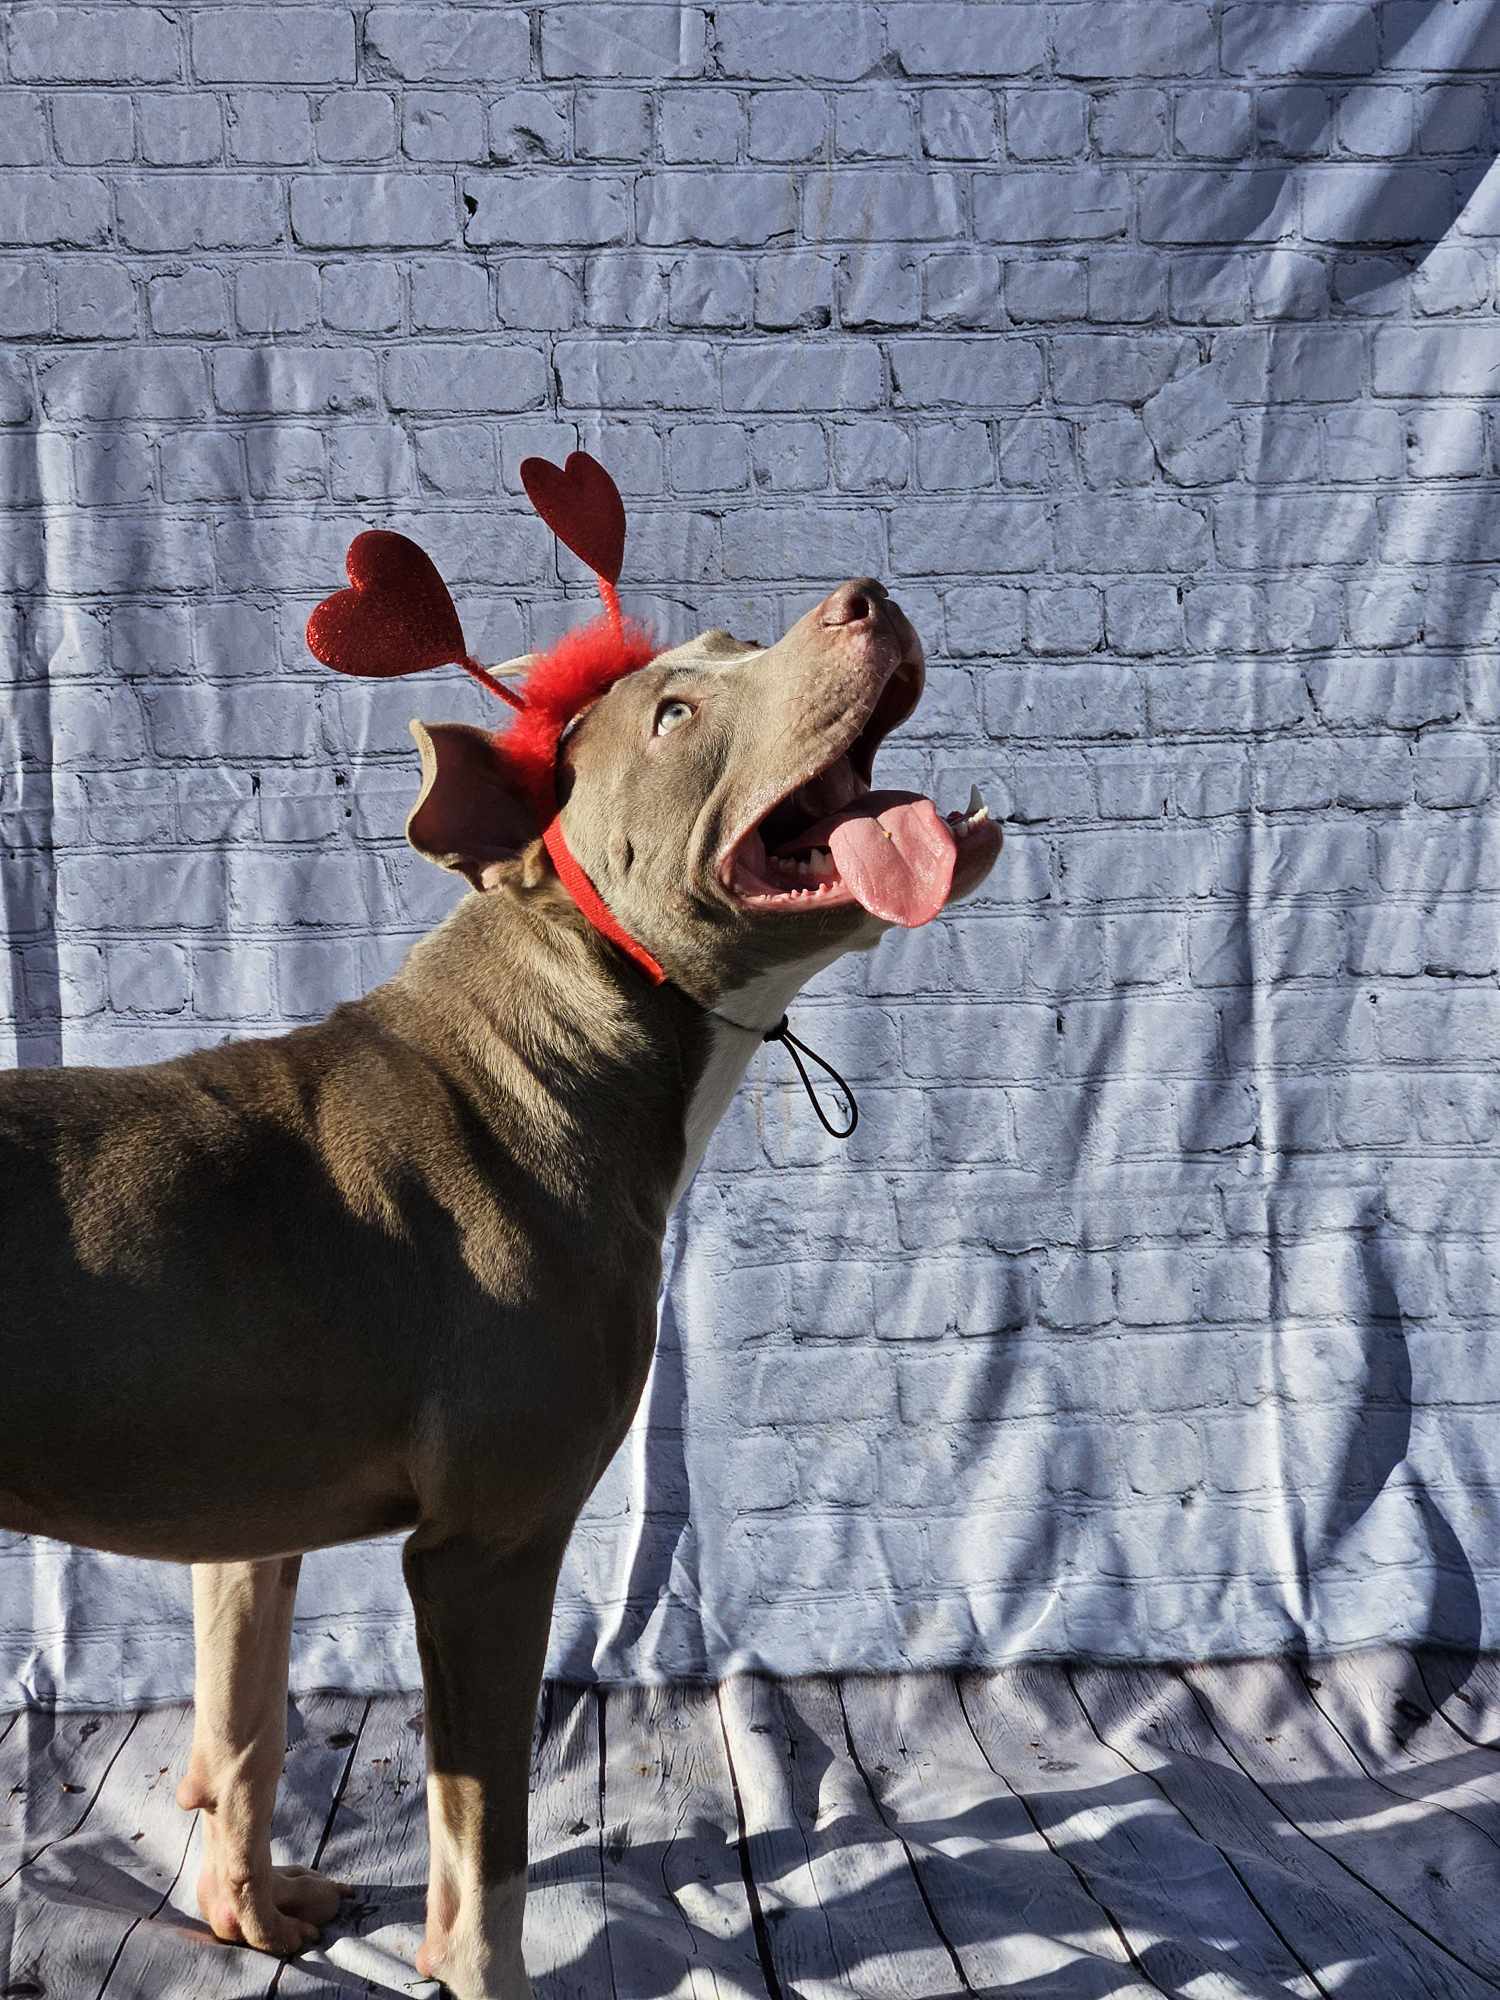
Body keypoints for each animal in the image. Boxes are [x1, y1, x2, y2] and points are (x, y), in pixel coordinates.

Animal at [2, 572, 1012, 1992]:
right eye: (676, 710)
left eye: (730, 646)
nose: (860, 594)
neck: (550, 1037)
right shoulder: (486, 1551)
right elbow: (487, 1839)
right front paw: (479, 1965)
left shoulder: (251, 1520)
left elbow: (246, 1724)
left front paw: (248, 1909)